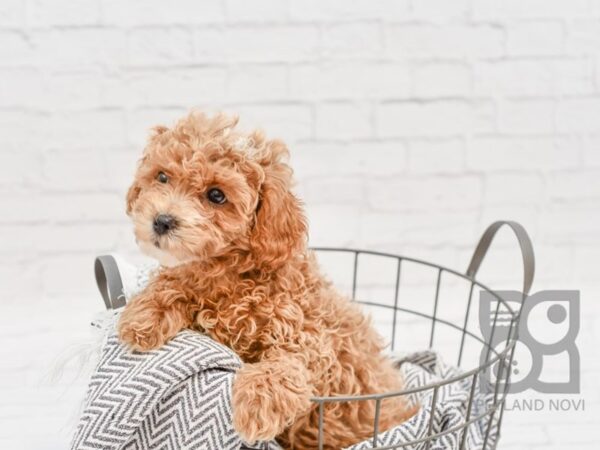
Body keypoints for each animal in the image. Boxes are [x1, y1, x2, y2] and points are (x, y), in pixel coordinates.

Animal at [119, 110, 414, 448]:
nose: (162, 221)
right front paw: (142, 317)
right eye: (162, 177)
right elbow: (173, 283)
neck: (230, 274)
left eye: (216, 195)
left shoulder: (310, 338)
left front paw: (258, 405)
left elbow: (285, 364)